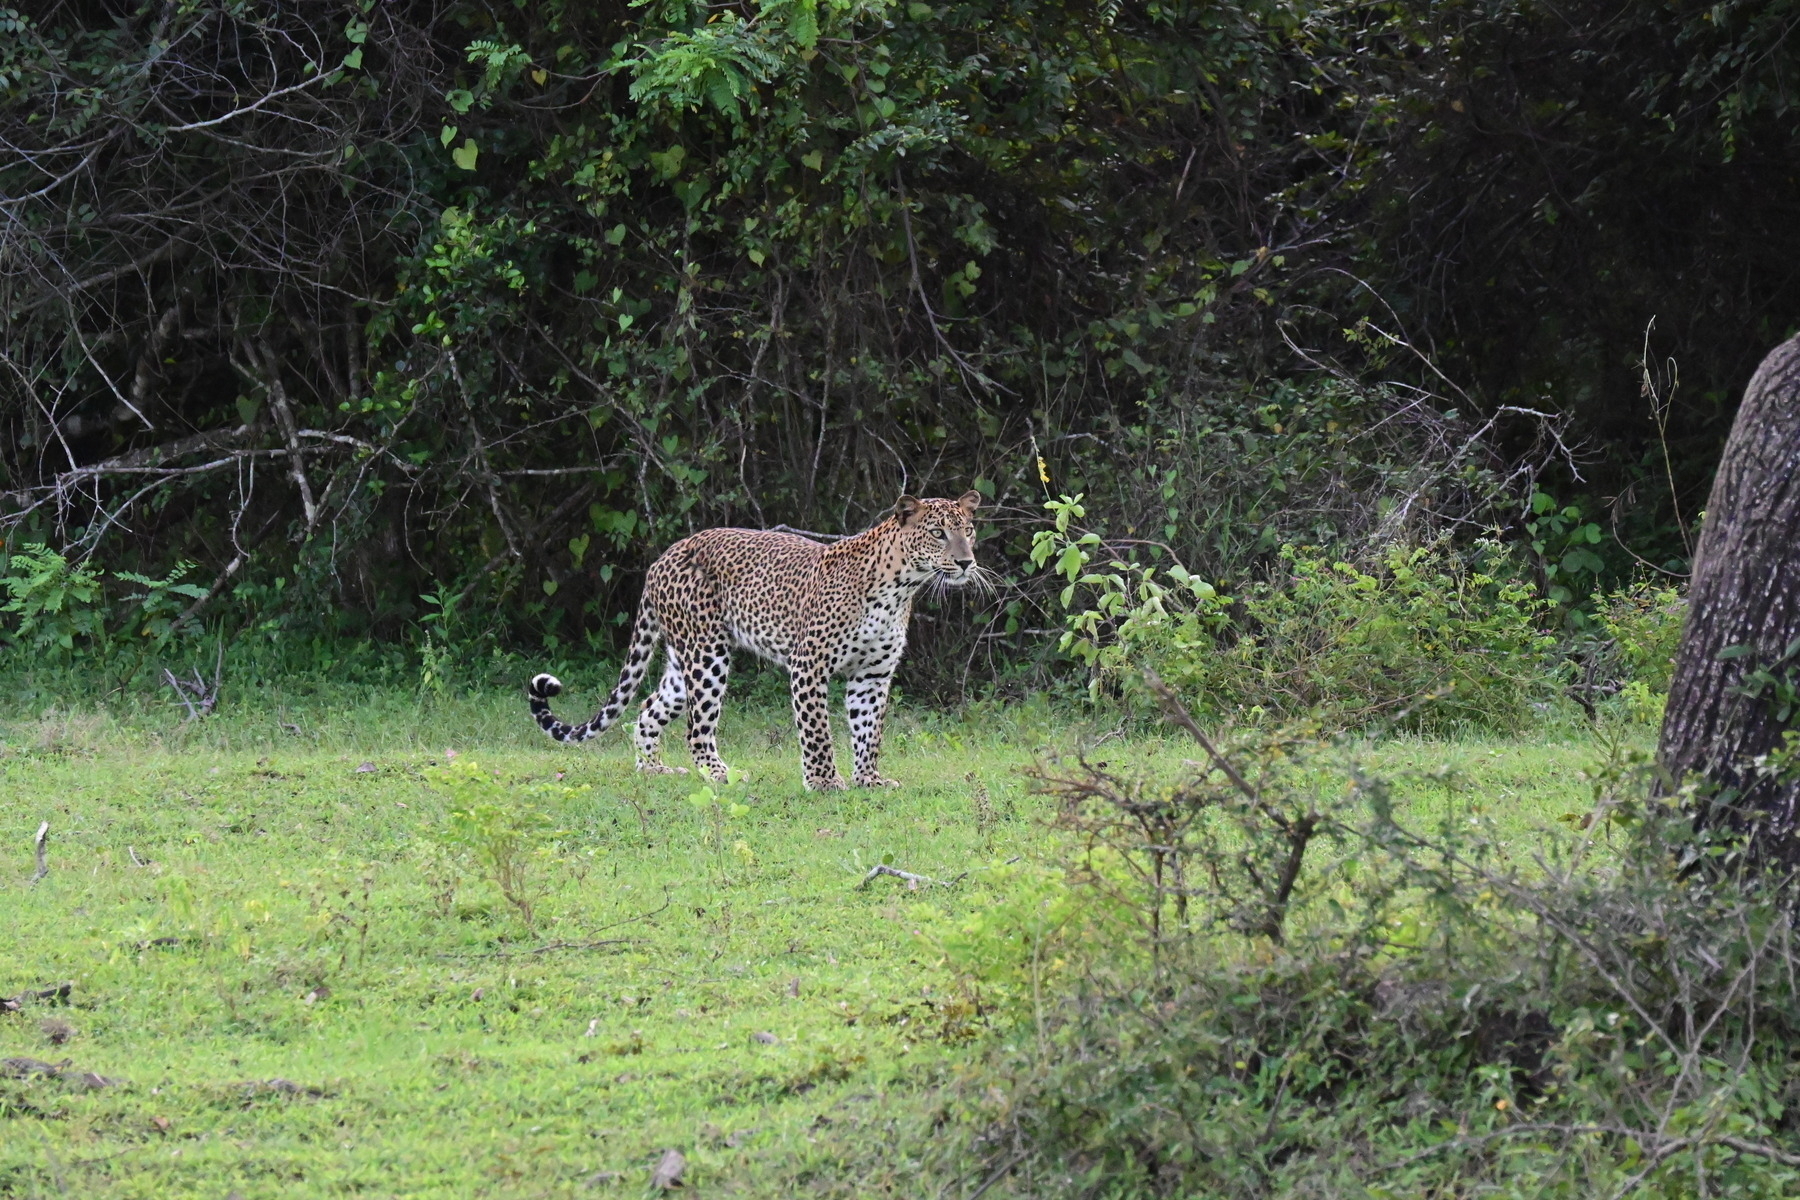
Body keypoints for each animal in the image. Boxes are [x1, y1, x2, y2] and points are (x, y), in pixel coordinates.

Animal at [525, 492, 986, 791]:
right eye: (938, 533)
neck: (901, 587)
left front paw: (869, 780)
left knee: (647, 708)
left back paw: (655, 770)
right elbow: (818, 730)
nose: (967, 562)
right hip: (707, 656)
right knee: (697, 728)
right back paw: (719, 774)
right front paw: (824, 782)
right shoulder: (809, 664)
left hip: (682, 660)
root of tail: (662, 559)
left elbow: (869, 731)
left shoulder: (873, 675)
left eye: (969, 530)